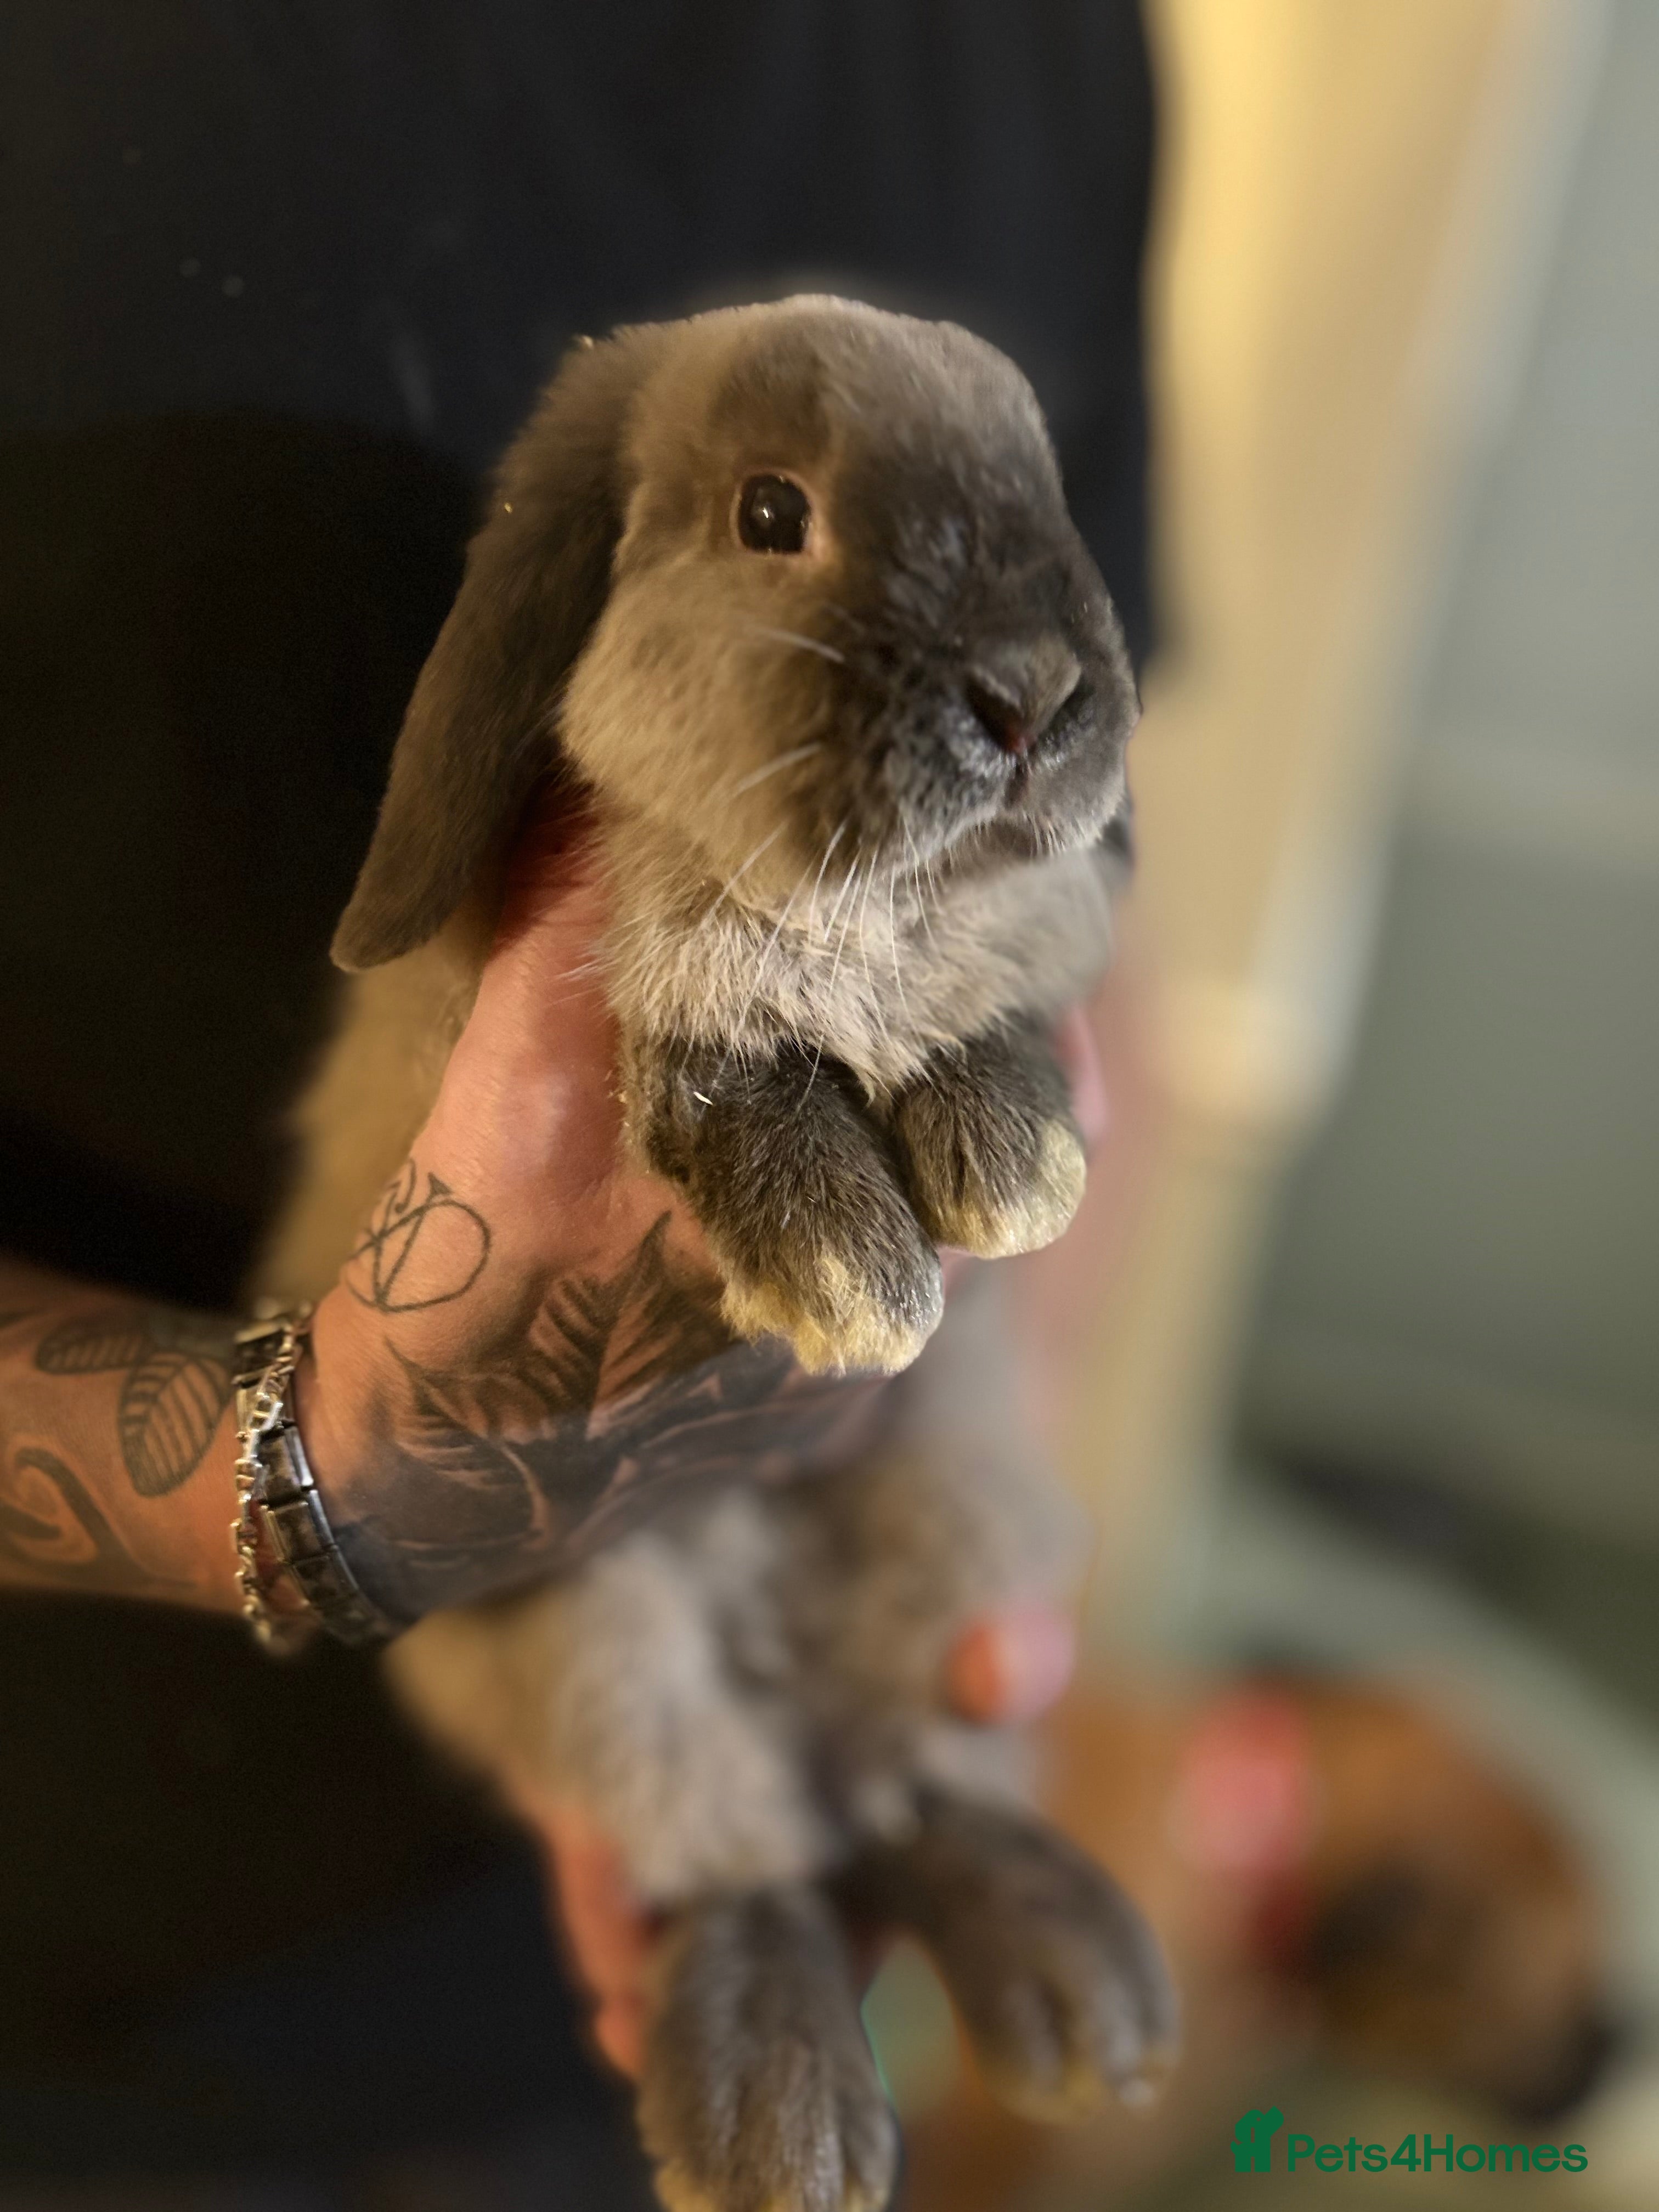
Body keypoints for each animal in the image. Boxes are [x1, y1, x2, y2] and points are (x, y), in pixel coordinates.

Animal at [259, 296, 1175, 2212]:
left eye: (1044, 479)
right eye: (771, 515)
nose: (1034, 695)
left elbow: (979, 991)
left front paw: (1008, 1165)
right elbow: (700, 1026)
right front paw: (849, 1261)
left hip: (958, 1525)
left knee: (900, 1792)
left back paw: (1076, 1988)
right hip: (589, 1648)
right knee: (743, 1850)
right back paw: (781, 2113)